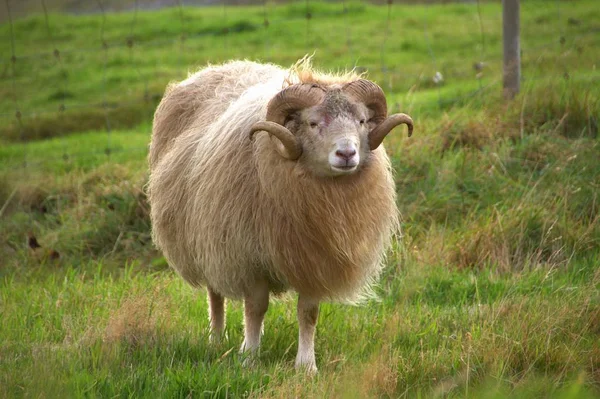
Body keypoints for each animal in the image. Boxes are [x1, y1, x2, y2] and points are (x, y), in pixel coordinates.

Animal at [149, 57, 412, 374]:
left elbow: (308, 313)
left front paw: (307, 366)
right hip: (207, 241)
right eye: (313, 123)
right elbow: (255, 309)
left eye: (361, 121)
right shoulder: (248, 257)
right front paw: (249, 358)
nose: (347, 154)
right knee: (215, 294)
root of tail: (217, 67)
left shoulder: (315, 262)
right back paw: (216, 338)